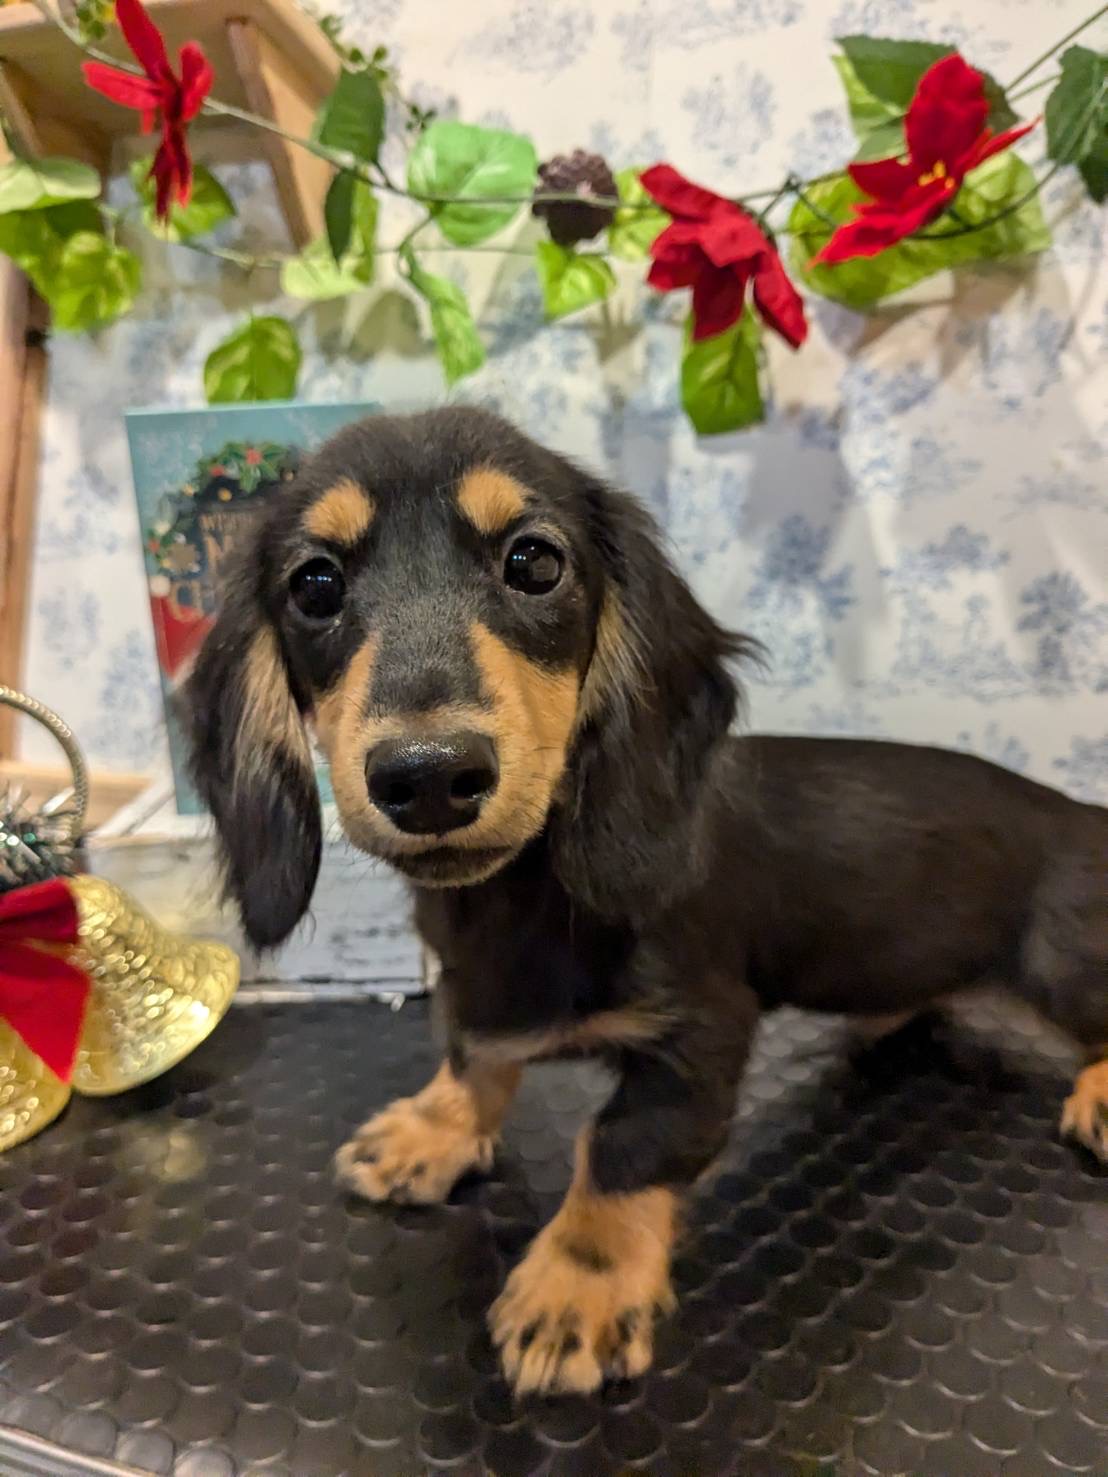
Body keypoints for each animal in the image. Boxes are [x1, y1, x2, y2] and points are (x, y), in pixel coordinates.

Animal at [184, 407, 1108, 1394]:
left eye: (534, 562)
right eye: (315, 584)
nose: (428, 777)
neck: (521, 898)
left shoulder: (705, 1023)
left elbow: (622, 1143)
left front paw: (577, 1282)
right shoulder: (475, 990)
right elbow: (473, 1058)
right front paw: (433, 1129)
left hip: (1060, 959)